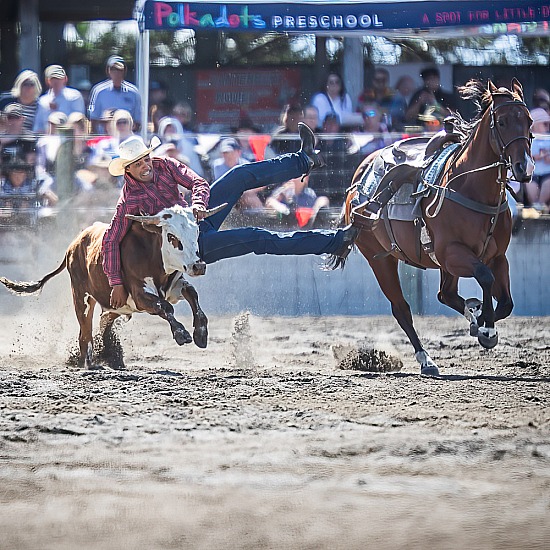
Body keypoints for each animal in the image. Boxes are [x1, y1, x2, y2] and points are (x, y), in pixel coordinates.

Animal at [334, 78, 536, 380]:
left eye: (529, 121)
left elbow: (506, 302)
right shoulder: (452, 253)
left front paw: (480, 320)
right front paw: (486, 327)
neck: (471, 188)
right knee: (402, 309)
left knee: (446, 294)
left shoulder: (497, 257)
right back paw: (426, 359)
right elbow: (485, 277)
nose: (524, 167)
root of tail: (359, 177)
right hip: (380, 260)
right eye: (501, 122)